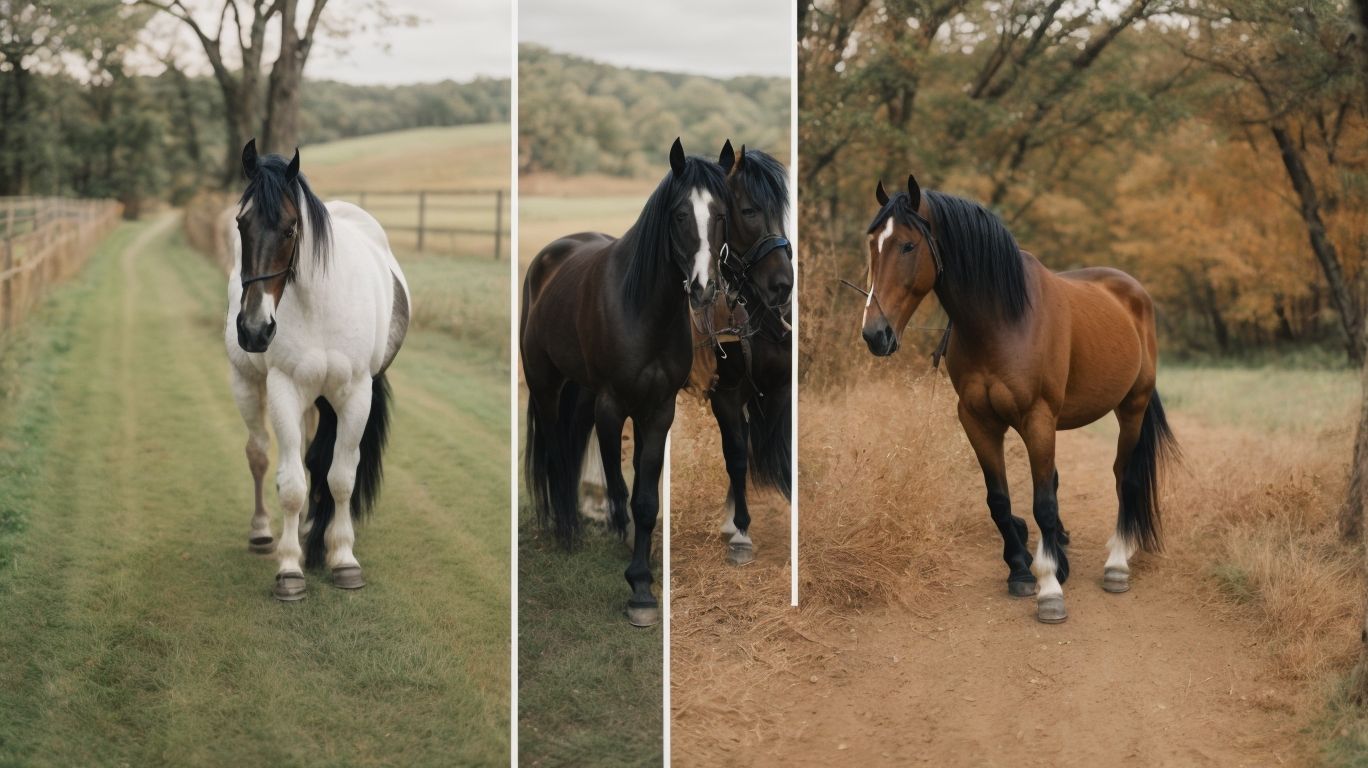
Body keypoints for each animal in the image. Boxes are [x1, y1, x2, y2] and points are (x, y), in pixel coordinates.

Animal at [225, 139, 409, 602]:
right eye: (241, 223)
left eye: (291, 229)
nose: (254, 329)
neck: (320, 303)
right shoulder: (285, 390)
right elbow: (291, 484)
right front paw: (290, 568)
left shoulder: (355, 393)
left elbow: (339, 476)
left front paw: (341, 557)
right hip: (247, 383)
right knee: (258, 452)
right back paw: (262, 532)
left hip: (323, 398)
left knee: (314, 457)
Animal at [521, 137, 730, 627]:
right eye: (679, 214)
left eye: (722, 214)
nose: (703, 288)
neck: (644, 309)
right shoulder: (614, 406)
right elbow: (620, 485)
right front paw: (634, 577)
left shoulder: (659, 411)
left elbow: (646, 499)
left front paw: (642, 583)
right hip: (546, 386)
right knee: (556, 454)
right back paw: (567, 529)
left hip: (581, 392)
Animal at [858, 175, 1178, 623]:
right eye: (873, 244)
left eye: (907, 245)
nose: (875, 334)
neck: (1002, 320)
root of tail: (1134, 294)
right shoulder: (977, 419)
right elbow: (1000, 499)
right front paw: (1022, 569)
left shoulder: (1037, 418)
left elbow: (1042, 502)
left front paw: (1049, 589)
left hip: (1132, 406)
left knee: (1124, 477)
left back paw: (1117, 562)